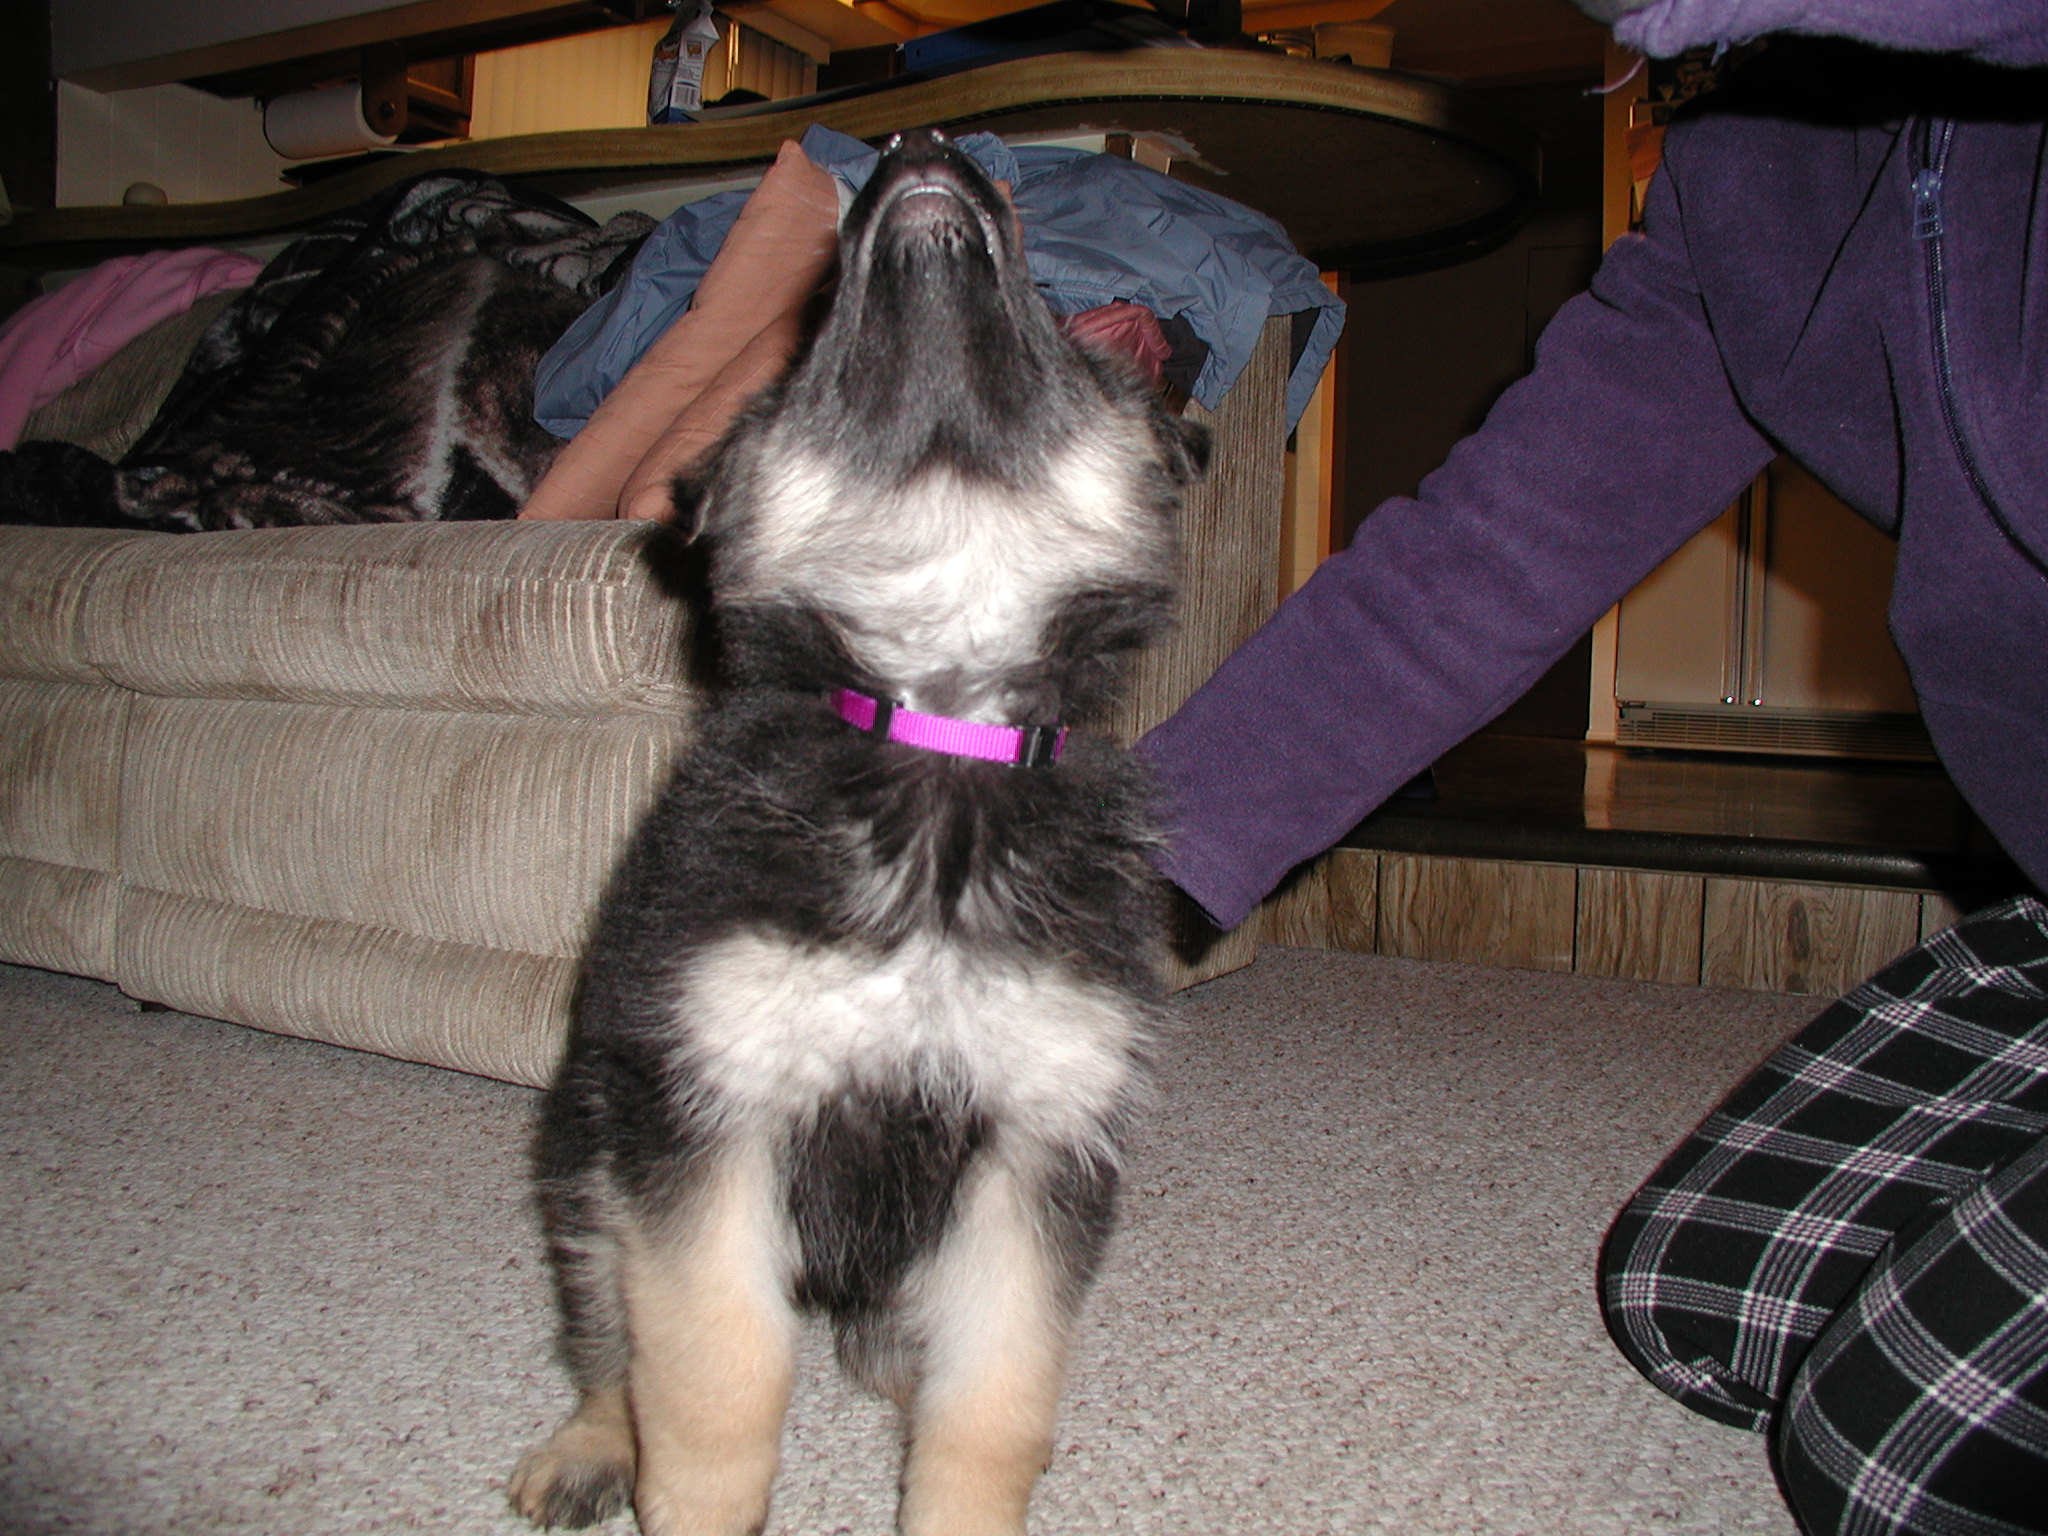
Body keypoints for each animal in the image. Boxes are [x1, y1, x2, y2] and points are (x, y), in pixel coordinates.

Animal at [508, 128, 1209, 1536]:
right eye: (815, 326)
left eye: (1053, 310)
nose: (924, 144)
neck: (937, 725)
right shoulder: (706, 1120)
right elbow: (714, 1387)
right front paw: (688, 1502)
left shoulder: (1036, 1147)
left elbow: (989, 1410)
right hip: (588, 1161)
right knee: (608, 1342)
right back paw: (589, 1447)